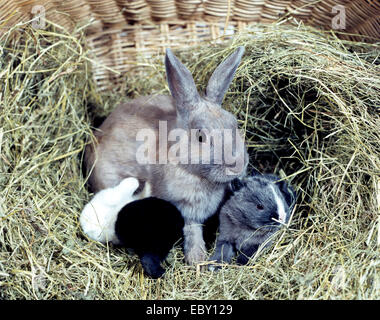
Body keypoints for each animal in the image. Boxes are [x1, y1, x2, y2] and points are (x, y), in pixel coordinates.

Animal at [84, 46, 248, 264]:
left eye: (234, 124)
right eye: (201, 136)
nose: (237, 166)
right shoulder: (185, 211)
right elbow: (192, 231)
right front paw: (197, 260)